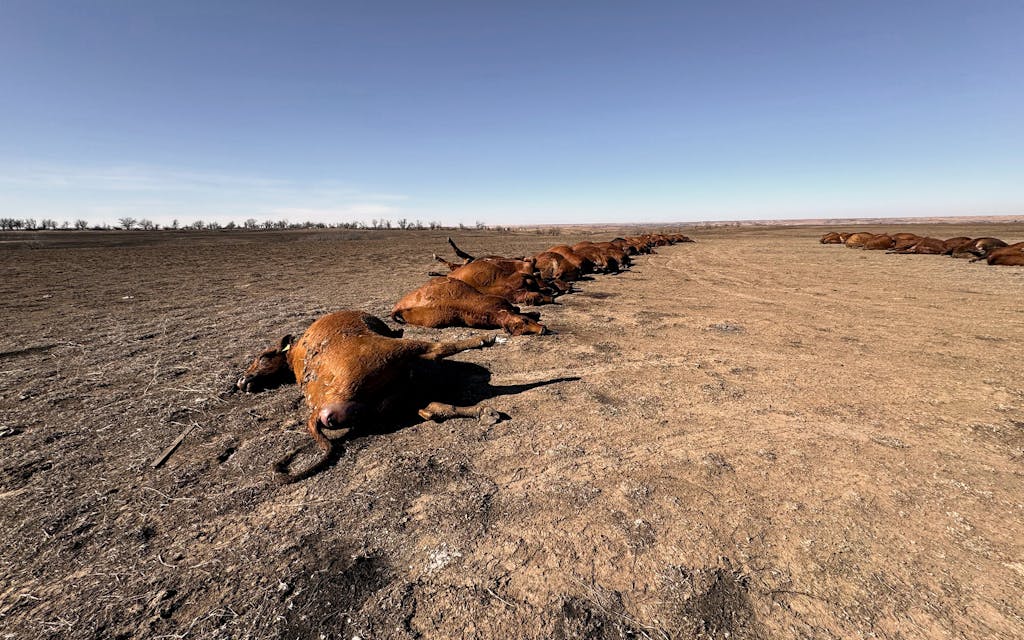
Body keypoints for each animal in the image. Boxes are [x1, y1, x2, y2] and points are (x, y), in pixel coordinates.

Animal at [238, 311, 495, 481]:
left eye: (263, 357)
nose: (243, 381)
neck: (293, 356)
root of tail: (316, 411)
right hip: (393, 351)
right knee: (439, 349)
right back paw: (484, 341)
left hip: (392, 398)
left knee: (432, 409)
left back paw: (485, 413)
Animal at [391, 274, 548, 333]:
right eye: (522, 325)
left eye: (525, 322)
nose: (543, 330)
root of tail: (399, 307)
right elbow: (519, 309)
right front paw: (535, 312)